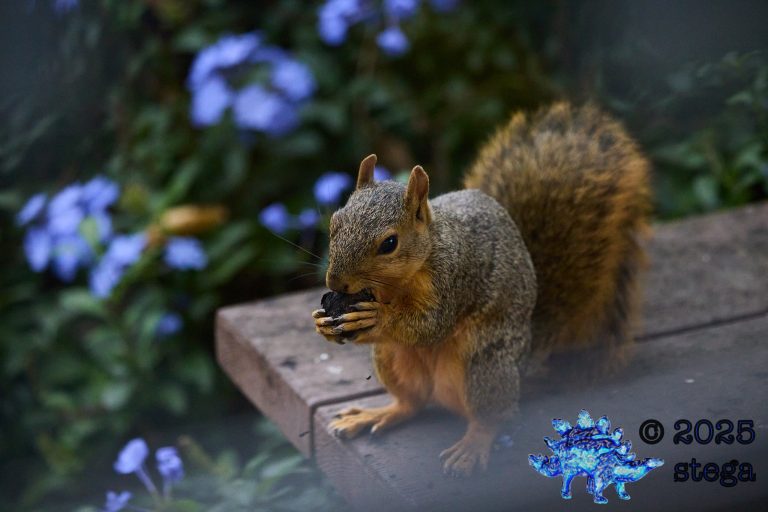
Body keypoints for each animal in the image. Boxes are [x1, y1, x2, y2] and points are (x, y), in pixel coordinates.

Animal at [312, 103, 651, 477]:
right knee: (411, 402)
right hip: (391, 356)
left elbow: (431, 325)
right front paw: (323, 322)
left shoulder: (455, 277)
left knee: (491, 417)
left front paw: (376, 318)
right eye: (334, 223)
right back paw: (377, 413)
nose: (336, 284)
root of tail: (524, 361)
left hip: (483, 363)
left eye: (389, 243)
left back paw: (473, 444)